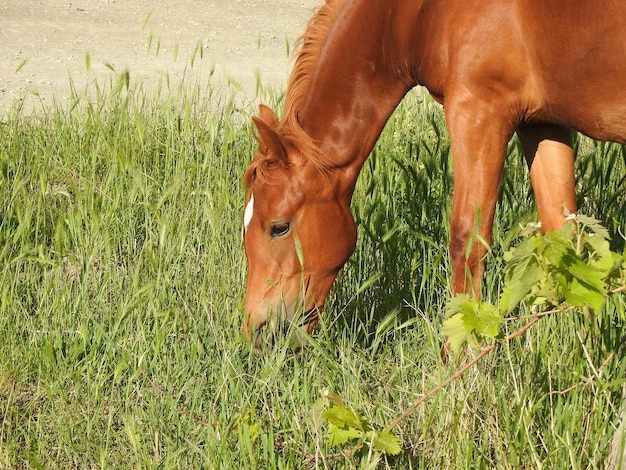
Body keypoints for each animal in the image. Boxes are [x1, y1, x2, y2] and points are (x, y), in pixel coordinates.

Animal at [241, 0, 624, 344]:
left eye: (279, 227)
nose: (256, 331)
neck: (417, 13)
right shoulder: (542, 123)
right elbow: (564, 235)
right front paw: (583, 351)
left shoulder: (477, 111)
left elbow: (467, 240)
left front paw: (458, 359)